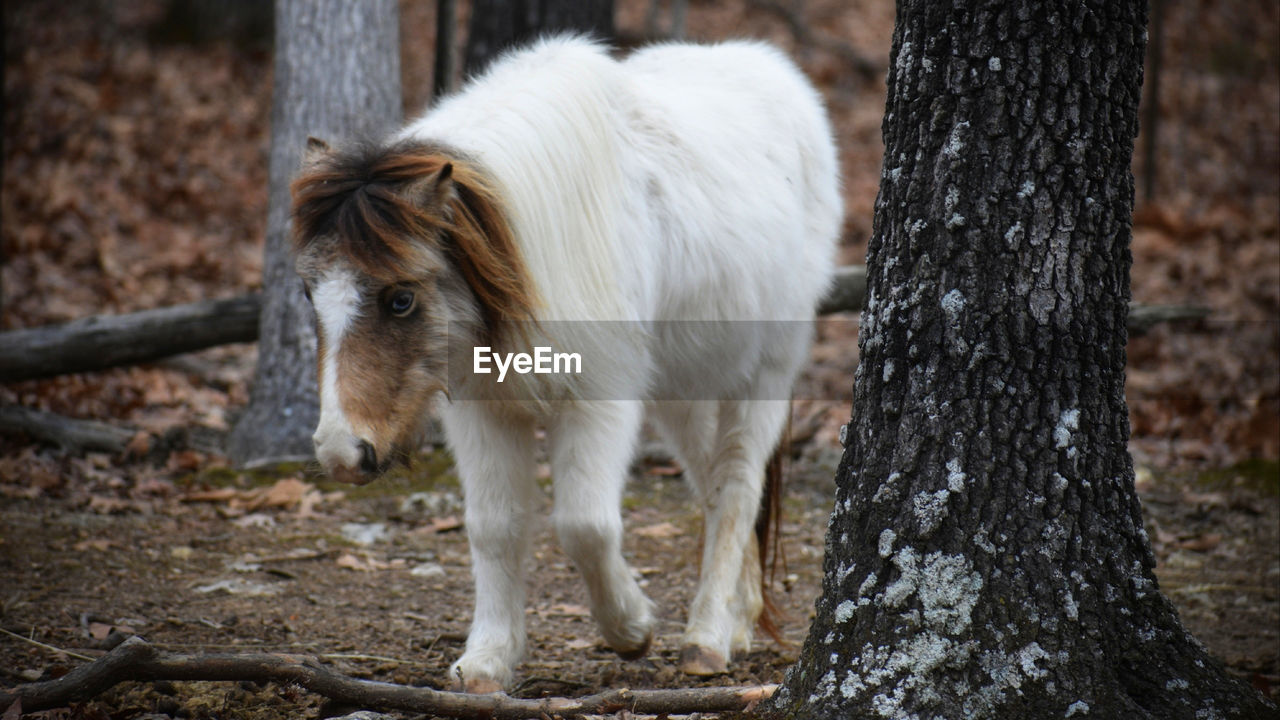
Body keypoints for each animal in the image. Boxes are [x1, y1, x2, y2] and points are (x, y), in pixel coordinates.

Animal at [290, 35, 839, 691]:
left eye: (401, 298)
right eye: (308, 294)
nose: (340, 454)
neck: (529, 244)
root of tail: (776, 73)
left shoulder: (598, 402)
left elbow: (585, 524)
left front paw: (631, 629)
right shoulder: (484, 411)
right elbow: (494, 526)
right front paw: (487, 660)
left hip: (765, 375)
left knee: (736, 487)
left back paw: (705, 639)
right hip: (680, 390)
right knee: (713, 485)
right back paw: (737, 622)